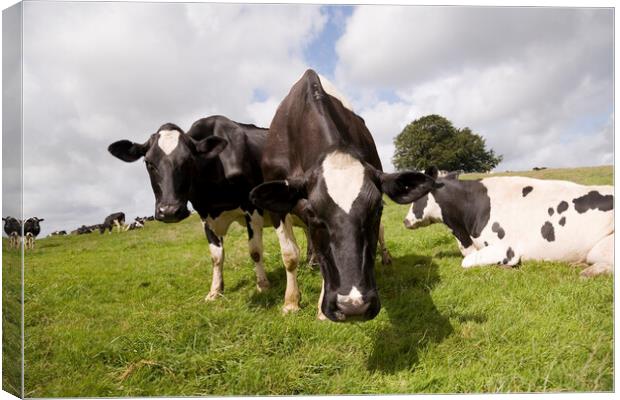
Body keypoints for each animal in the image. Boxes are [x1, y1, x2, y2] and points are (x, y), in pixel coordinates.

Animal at [249, 70, 438, 322]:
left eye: (378, 208)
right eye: (312, 212)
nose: (353, 306)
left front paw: (320, 310)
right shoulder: (278, 205)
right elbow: (290, 255)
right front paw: (290, 302)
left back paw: (386, 258)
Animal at [404, 167, 612, 276]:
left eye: (415, 193)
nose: (405, 221)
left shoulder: (506, 249)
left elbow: (466, 262)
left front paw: (503, 266)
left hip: (601, 247)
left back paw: (588, 272)